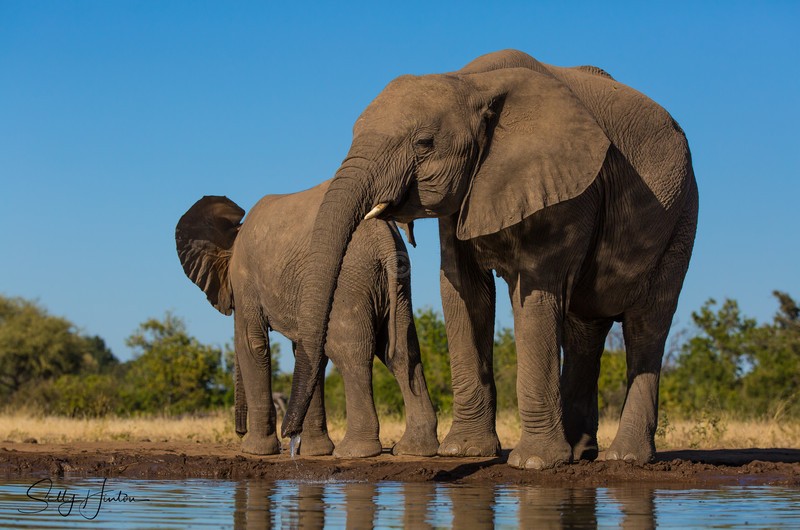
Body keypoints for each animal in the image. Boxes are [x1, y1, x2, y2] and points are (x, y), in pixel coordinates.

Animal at [175, 179, 439, 458]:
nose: (239, 432)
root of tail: (383, 237)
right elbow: (308, 352)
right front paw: (315, 452)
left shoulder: (245, 278)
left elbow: (252, 343)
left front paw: (254, 451)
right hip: (398, 282)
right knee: (403, 352)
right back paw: (415, 450)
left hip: (348, 282)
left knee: (351, 354)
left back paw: (354, 451)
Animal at [282, 49, 698, 470]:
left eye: (424, 143)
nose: (291, 439)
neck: (471, 83)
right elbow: (462, 290)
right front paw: (465, 451)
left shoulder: (569, 188)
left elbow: (536, 294)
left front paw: (533, 463)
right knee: (585, 331)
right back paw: (580, 454)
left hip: (681, 217)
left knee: (647, 325)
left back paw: (624, 458)